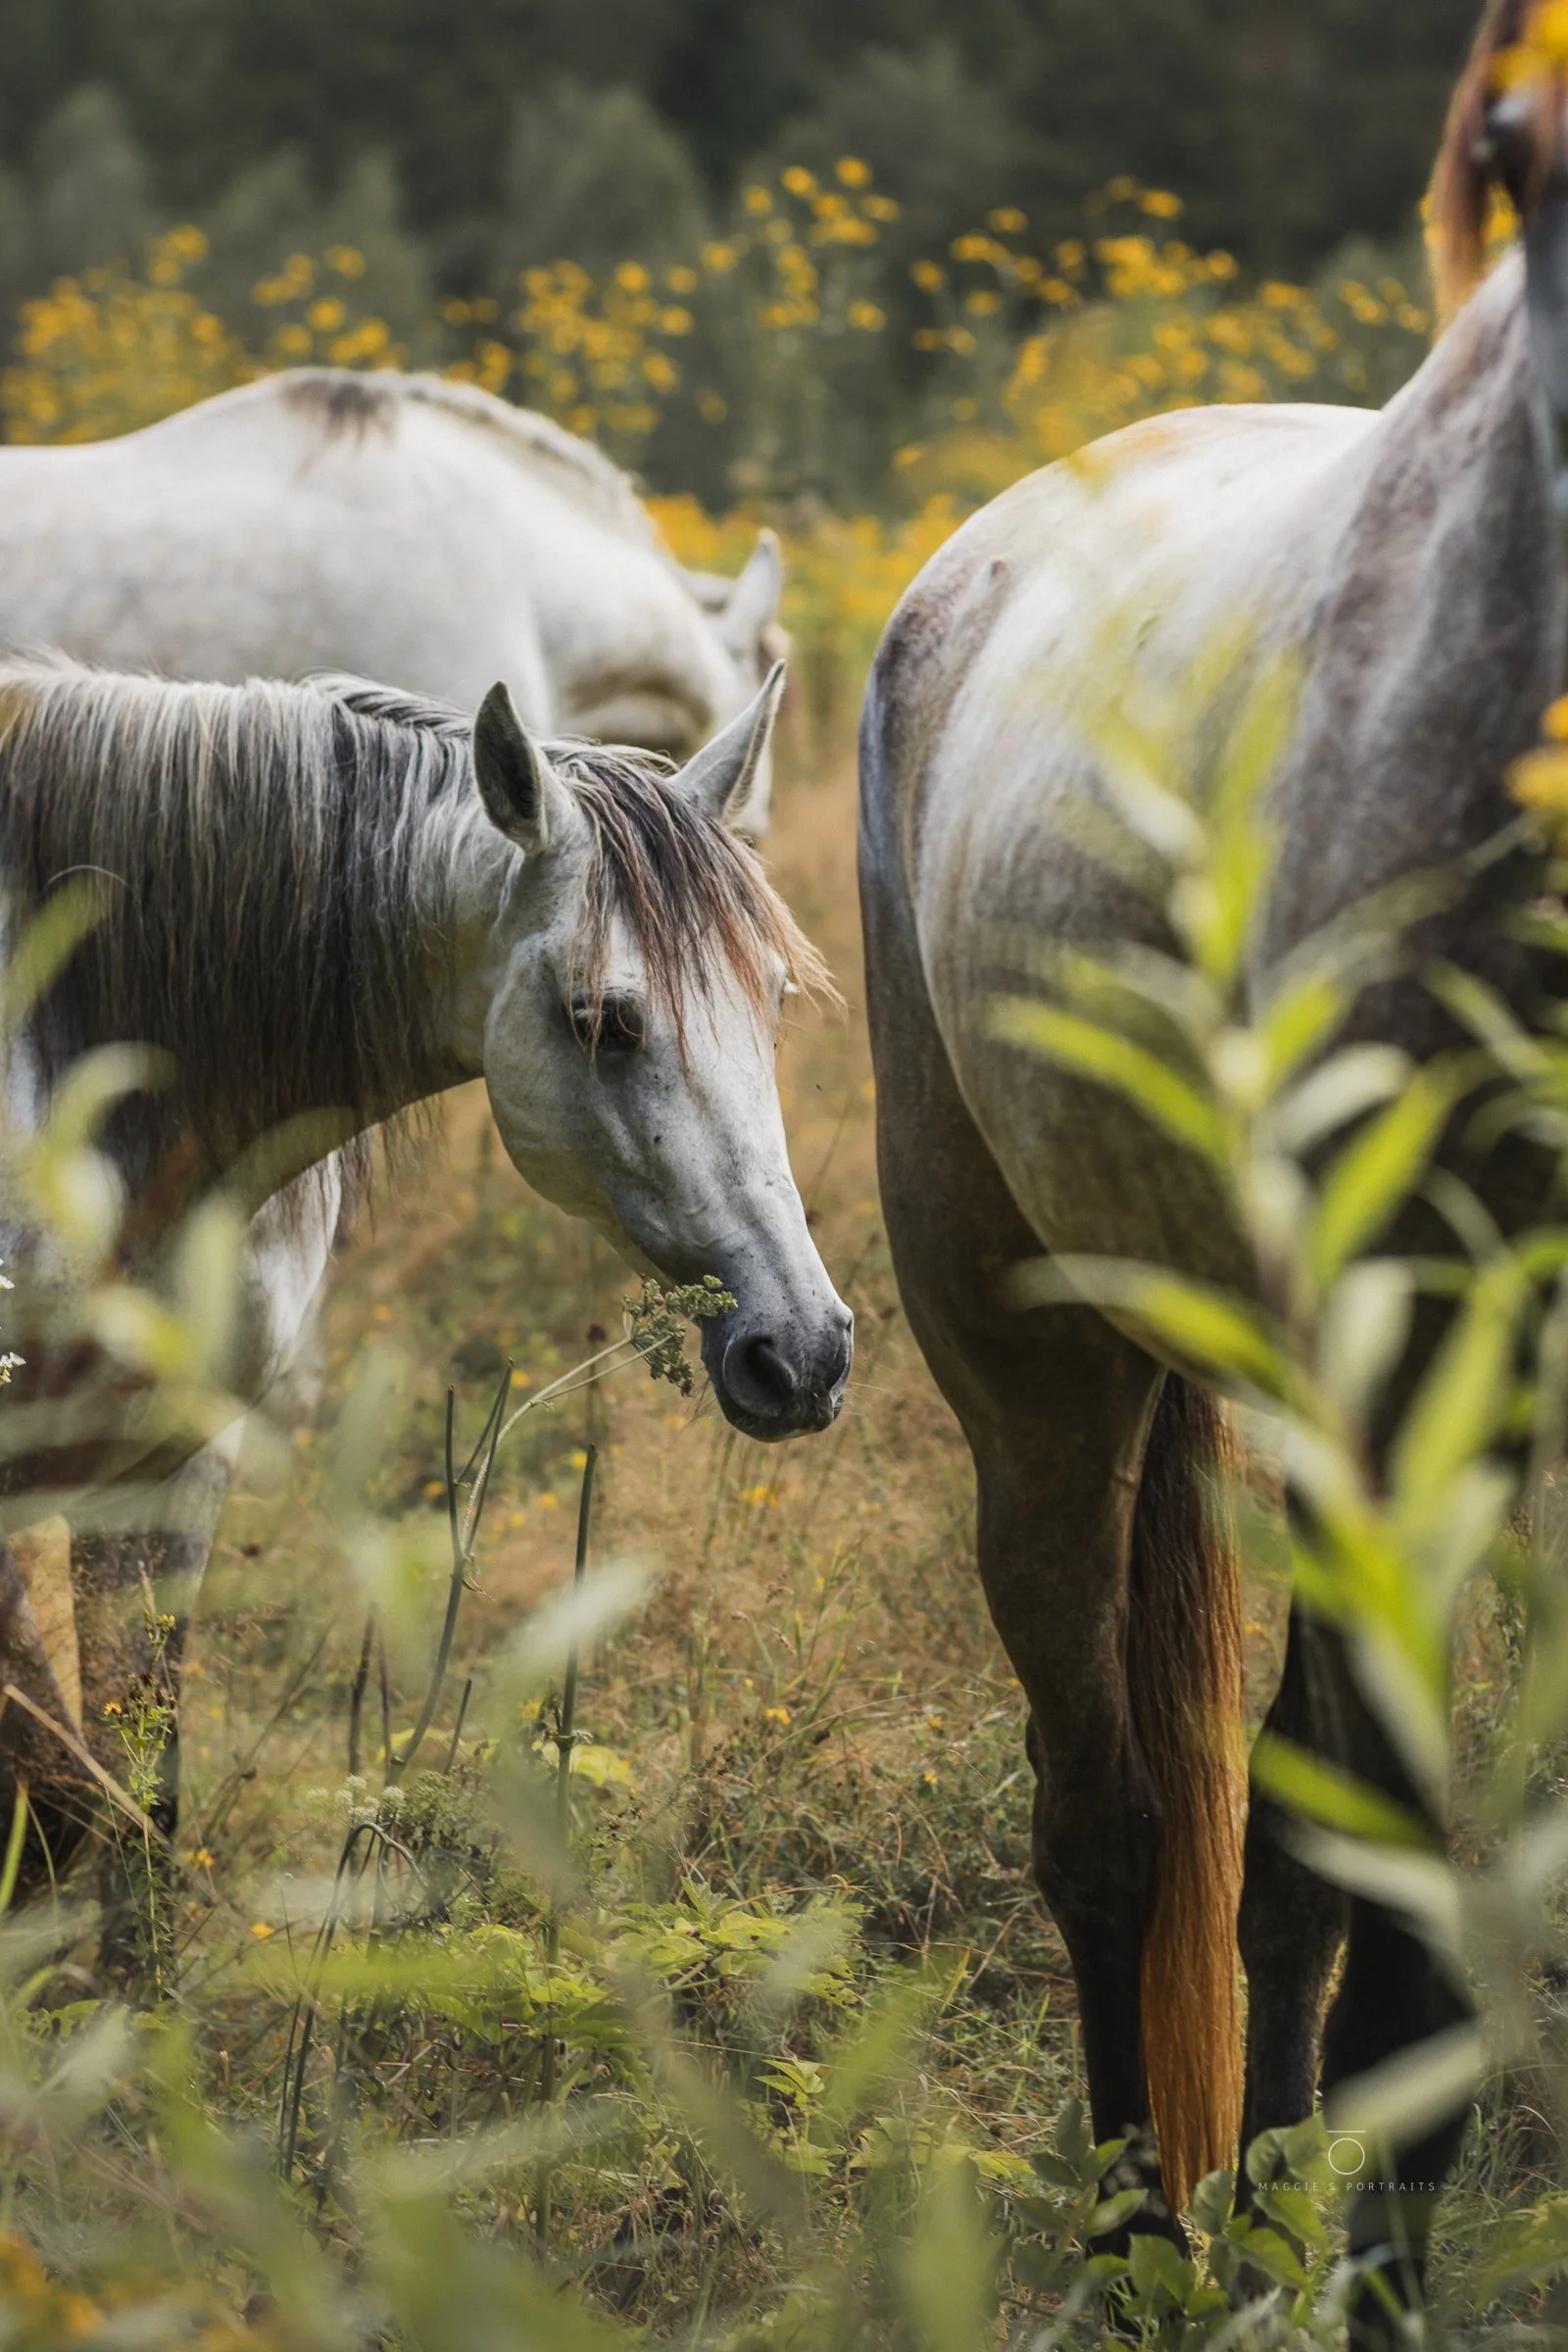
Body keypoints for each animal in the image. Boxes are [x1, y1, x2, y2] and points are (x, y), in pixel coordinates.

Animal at [0, 652, 851, 1908]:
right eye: (602, 1021)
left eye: (774, 1000)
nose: (804, 1354)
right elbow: (62, 1814)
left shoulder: (164, 1473)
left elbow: (138, 1818)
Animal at [859, 2, 1565, 2332]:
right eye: (1515, 163)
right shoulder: (1411, 1390)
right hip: (1035, 1371)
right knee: (1118, 1824)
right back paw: (1150, 2254)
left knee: (1262, 1846)